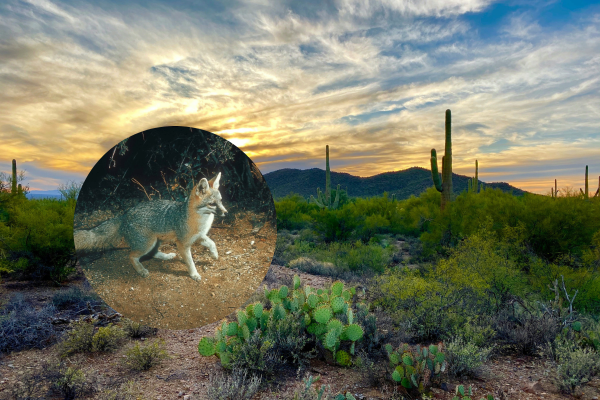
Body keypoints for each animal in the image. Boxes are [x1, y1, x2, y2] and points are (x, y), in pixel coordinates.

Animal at [73, 172, 227, 282]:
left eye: (220, 201)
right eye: (212, 204)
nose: (226, 212)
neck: (200, 219)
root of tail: (125, 214)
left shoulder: (198, 236)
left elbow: (212, 243)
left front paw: (214, 255)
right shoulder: (183, 244)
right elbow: (190, 262)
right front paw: (194, 274)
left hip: (155, 241)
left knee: (152, 253)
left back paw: (166, 256)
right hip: (148, 243)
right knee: (132, 256)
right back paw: (141, 270)